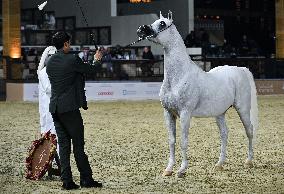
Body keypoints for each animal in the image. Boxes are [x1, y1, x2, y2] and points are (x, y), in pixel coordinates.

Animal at [137, 10, 258, 177]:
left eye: (162, 23)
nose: (141, 29)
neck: (179, 77)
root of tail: (241, 69)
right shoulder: (168, 113)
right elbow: (172, 141)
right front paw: (168, 169)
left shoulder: (185, 114)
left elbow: (183, 141)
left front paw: (181, 170)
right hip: (219, 113)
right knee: (224, 134)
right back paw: (219, 164)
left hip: (243, 109)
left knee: (249, 131)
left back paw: (249, 161)